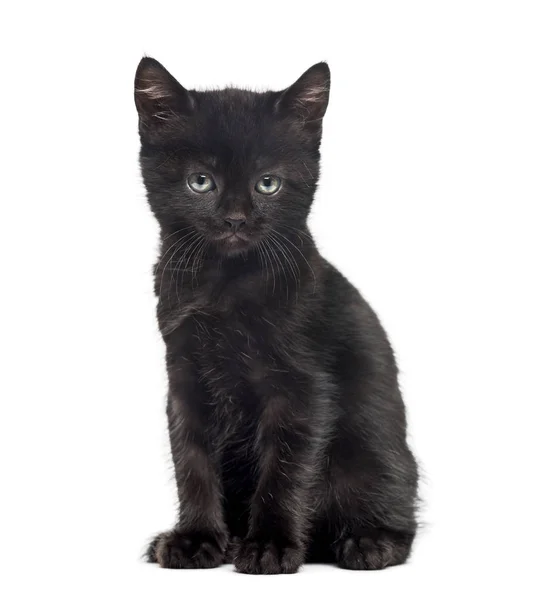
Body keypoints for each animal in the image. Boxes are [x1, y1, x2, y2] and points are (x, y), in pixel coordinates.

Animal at [133, 58, 416, 576]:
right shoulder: (184, 377)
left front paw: (269, 546)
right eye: (200, 181)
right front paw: (196, 539)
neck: (223, 285)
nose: (236, 219)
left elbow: (285, 469)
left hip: (372, 455)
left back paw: (369, 542)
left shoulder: (302, 387)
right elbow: (191, 459)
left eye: (268, 183)